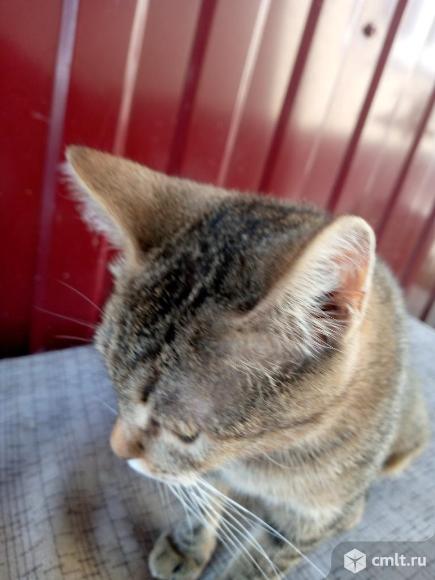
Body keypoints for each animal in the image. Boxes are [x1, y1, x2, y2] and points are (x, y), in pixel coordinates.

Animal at [66, 146, 429, 580]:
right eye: (113, 384)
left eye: (185, 432)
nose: (117, 450)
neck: (257, 456)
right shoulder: (205, 471)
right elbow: (200, 497)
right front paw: (189, 543)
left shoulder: (317, 517)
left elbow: (262, 559)